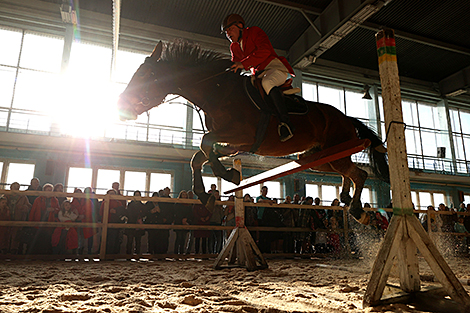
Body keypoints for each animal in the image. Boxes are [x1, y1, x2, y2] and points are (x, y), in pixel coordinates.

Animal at [116, 40, 390, 223]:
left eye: (148, 73)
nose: (121, 105)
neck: (217, 92)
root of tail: (346, 118)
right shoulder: (235, 144)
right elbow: (199, 156)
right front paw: (206, 195)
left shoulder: (241, 136)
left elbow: (205, 142)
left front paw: (228, 175)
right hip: (319, 159)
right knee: (349, 173)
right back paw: (347, 199)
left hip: (335, 150)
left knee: (359, 174)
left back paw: (356, 209)